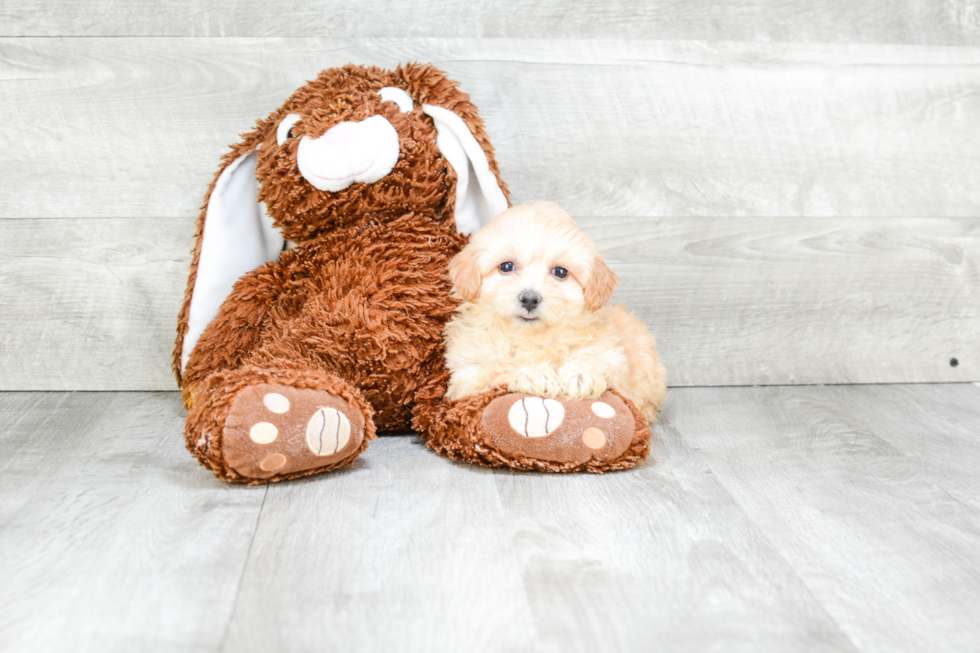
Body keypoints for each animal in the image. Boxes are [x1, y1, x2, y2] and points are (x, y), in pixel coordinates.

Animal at [444, 201, 668, 420]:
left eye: (560, 272)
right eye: (506, 266)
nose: (529, 299)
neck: (534, 336)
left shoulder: (613, 356)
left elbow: (598, 358)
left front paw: (580, 375)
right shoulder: (468, 375)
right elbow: (500, 365)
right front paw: (536, 373)